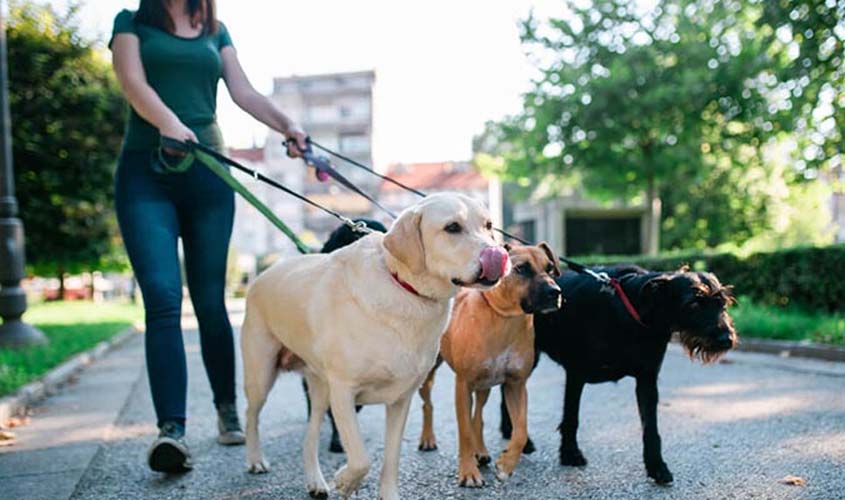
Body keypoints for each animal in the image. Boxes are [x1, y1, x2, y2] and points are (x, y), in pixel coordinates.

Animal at [416, 242, 560, 484]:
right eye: (521, 268)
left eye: (550, 268)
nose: (555, 292)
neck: (504, 319)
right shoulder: (463, 385)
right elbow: (464, 431)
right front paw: (468, 472)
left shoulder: (516, 384)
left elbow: (520, 430)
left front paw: (506, 464)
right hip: (428, 375)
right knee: (428, 404)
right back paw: (428, 439)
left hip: (484, 385)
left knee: (478, 416)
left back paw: (481, 451)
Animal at [498, 266, 736, 484]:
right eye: (693, 303)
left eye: (722, 303)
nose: (727, 339)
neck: (632, 312)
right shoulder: (576, 374)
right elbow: (571, 418)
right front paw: (570, 454)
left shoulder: (647, 380)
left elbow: (651, 429)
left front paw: (657, 467)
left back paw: (511, 433)